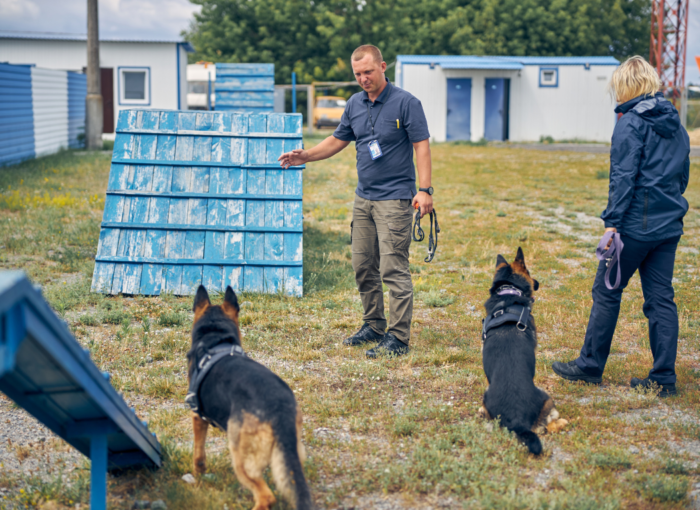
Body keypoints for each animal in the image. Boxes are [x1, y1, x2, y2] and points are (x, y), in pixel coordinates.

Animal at [186, 286, 312, 510]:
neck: (215, 340)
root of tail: (278, 409)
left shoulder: (197, 418)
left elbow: (198, 455)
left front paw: (198, 476)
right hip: (290, 454)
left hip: (240, 459)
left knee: (266, 496)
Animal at [478, 247, 568, 454]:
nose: (538, 282)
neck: (507, 293)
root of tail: (517, 419)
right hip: (546, 398)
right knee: (548, 427)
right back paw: (562, 422)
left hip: (486, 398)